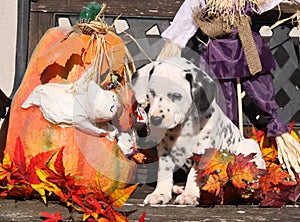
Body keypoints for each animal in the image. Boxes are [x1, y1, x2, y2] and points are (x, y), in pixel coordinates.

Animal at [132, 56, 264, 205]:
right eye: (152, 93)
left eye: (176, 96)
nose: (155, 120)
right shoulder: (164, 150)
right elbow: (164, 171)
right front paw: (160, 193)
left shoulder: (203, 152)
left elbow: (194, 174)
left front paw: (189, 195)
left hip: (249, 147)